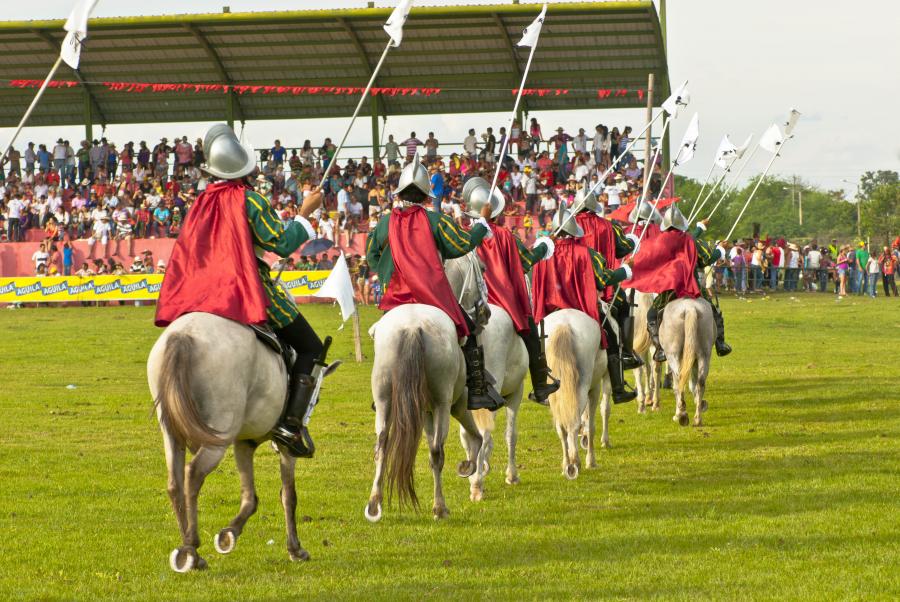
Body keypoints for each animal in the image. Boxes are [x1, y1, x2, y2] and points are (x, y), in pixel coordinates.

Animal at [148, 312, 338, 568]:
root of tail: (184, 334)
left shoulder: (244, 443)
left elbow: (250, 497)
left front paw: (230, 534)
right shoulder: (285, 448)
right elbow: (288, 495)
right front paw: (295, 549)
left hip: (171, 433)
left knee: (174, 483)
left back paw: (191, 551)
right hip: (218, 436)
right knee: (193, 474)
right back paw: (191, 547)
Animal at [364, 302, 486, 516]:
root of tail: (412, 327)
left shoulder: (426, 412)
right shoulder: (457, 402)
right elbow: (472, 436)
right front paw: (469, 466)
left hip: (384, 399)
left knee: (382, 445)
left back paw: (374, 502)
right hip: (443, 403)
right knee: (438, 452)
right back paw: (440, 507)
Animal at [540, 310, 612, 478]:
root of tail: (564, 324)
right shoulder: (596, 386)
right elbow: (595, 420)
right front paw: (592, 459)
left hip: (556, 394)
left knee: (562, 428)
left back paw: (567, 463)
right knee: (574, 423)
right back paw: (575, 463)